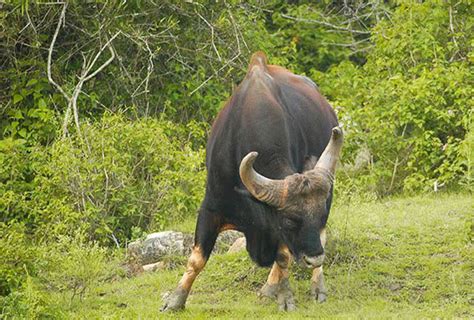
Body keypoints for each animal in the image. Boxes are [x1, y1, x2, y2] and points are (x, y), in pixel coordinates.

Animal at [161, 51, 342, 312]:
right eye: (289, 220)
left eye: (322, 215)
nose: (315, 257)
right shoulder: (211, 207)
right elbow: (197, 258)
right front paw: (175, 299)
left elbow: (283, 256)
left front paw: (284, 296)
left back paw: (313, 286)